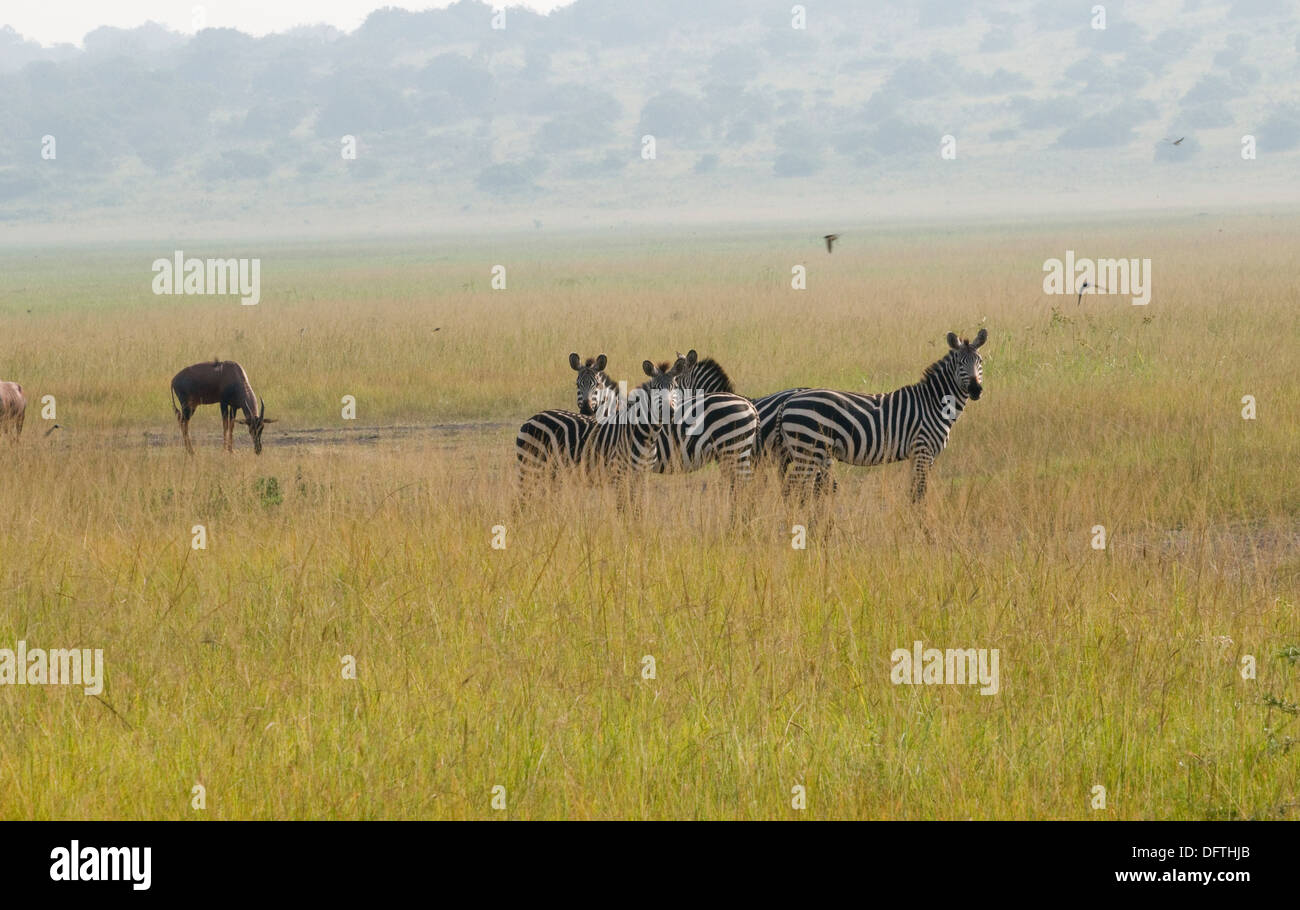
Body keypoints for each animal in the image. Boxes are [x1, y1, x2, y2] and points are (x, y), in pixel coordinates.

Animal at [775, 329, 987, 501]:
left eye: (980, 362)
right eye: (959, 363)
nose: (976, 390)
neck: (933, 402)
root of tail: (788, 401)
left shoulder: (917, 455)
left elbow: (913, 492)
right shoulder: (923, 450)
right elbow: (920, 493)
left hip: (812, 452)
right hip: (808, 450)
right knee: (791, 491)